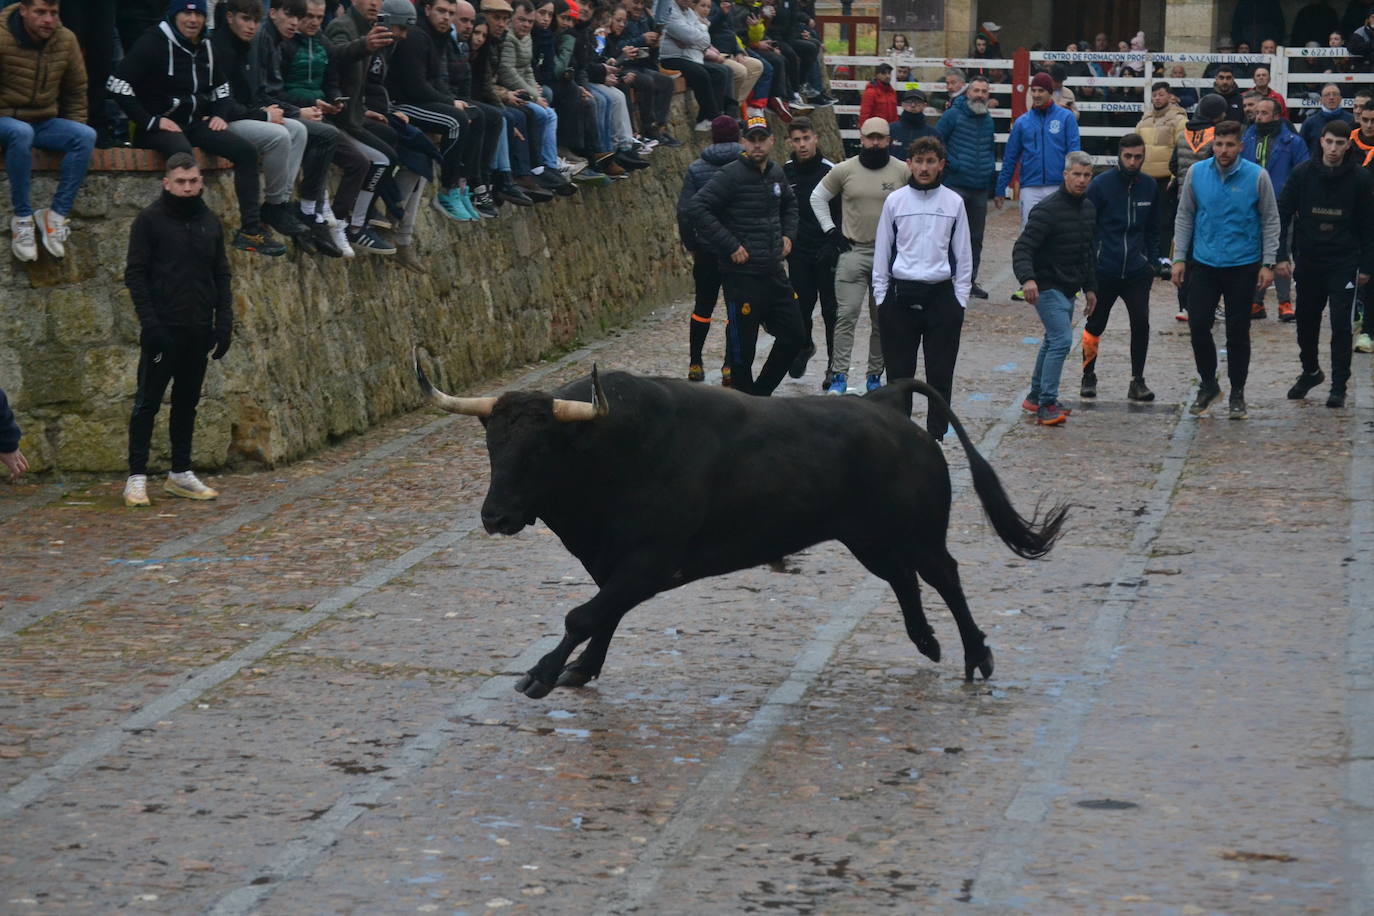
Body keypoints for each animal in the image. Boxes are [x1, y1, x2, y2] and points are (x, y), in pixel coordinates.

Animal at [412, 357, 1066, 694]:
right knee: (904, 579)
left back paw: (975, 656)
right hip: (867, 538)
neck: (615, 445)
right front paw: (580, 669)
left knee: (945, 577)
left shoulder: (648, 561)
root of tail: (886, 405)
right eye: (492, 444)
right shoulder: (615, 566)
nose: (495, 516)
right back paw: (928, 642)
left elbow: (584, 615)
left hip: (918, 533)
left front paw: (543, 673)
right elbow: (603, 614)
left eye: (541, 449)